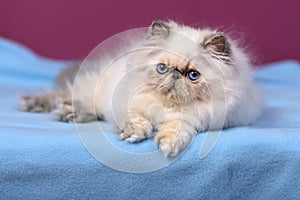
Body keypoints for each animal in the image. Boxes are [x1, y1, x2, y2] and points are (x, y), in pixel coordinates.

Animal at [18, 20, 262, 158]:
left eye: (193, 75)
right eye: (162, 68)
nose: (175, 74)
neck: (165, 105)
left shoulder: (196, 119)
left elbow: (177, 128)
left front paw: (168, 145)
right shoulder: (127, 104)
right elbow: (135, 119)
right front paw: (135, 133)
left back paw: (69, 113)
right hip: (95, 90)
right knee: (73, 98)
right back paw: (48, 107)